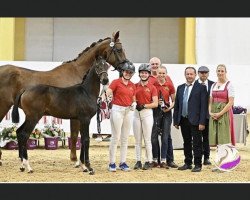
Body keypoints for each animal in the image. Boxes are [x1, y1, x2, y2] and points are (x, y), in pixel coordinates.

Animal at [0, 31, 127, 166]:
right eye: (119, 49)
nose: (127, 68)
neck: (78, 72)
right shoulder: (78, 117)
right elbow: (76, 135)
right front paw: (75, 160)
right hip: (7, 107)